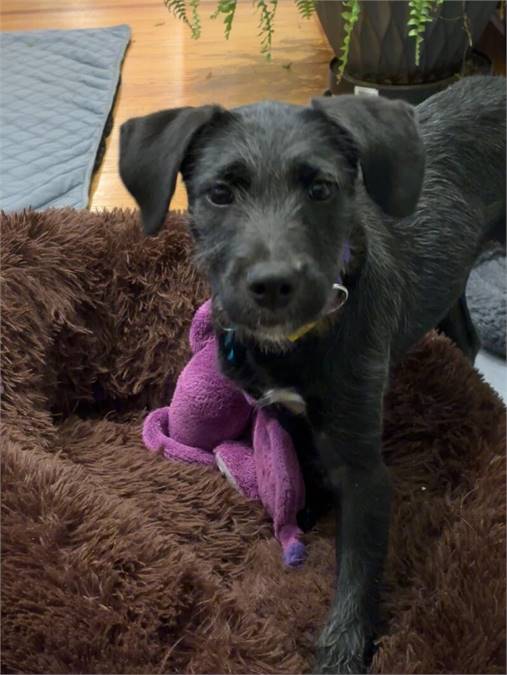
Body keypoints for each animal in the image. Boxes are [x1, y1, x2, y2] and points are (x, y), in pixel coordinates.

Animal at [120, 76, 507, 672]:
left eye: (321, 189)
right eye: (220, 193)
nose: (273, 285)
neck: (297, 343)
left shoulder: (366, 473)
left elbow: (358, 573)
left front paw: (340, 653)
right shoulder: (284, 412)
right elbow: (301, 461)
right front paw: (303, 506)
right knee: (465, 335)